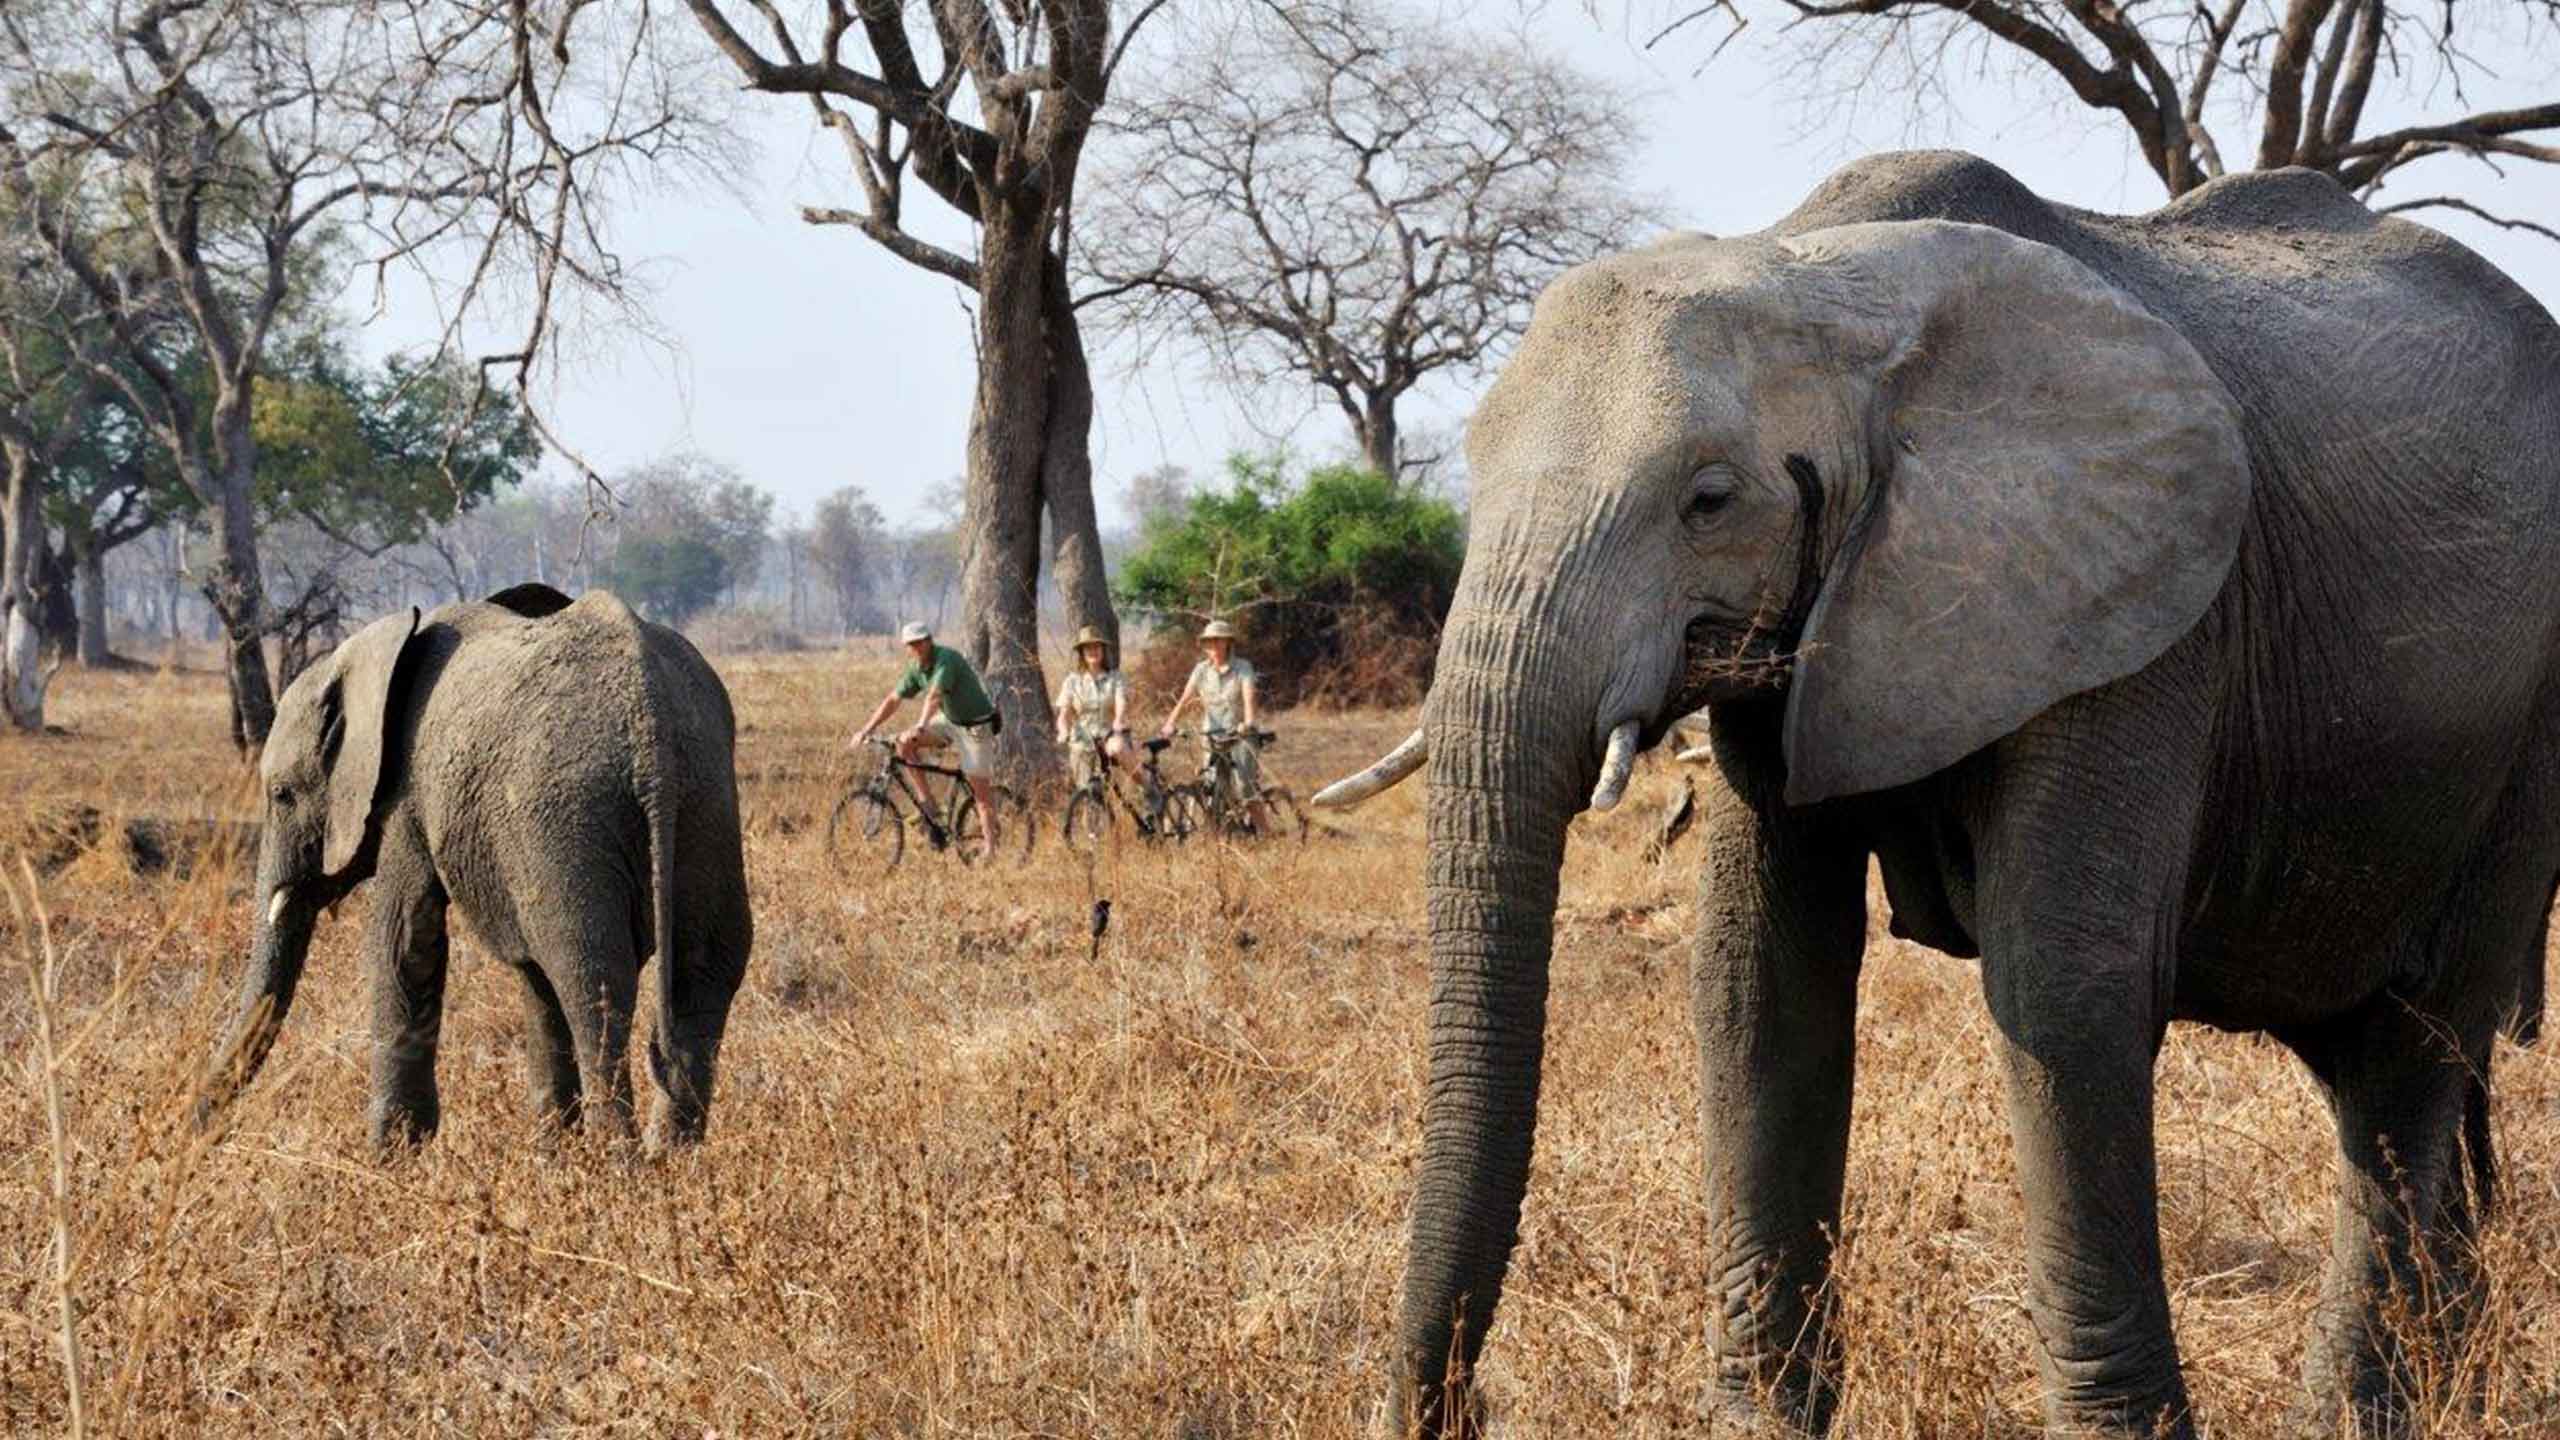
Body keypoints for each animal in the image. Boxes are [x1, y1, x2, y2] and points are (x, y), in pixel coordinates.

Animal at [192, 579, 747, 1142]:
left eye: (281, 795)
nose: (198, 1129)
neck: (372, 654)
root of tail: (651, 725)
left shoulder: (409, 793)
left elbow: (402, 945)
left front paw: (390, 1152)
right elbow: (529, 976)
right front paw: (553, 1151)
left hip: (575, 815)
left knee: (594, 981)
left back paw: (617, 1159)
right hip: (704, 804)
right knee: (702, 974)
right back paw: (669, 1158)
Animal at [1320, 151, 2560, 1424]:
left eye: (1708, 501)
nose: (1446, 1411)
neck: (1815, 272)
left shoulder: (2135, 615)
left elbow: (2062, 990)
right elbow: (1759, 983)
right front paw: (1760, 1426)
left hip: (2526, 723)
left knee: (2414, 1044)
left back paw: (2363, 1411)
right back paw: (2457, 1377)